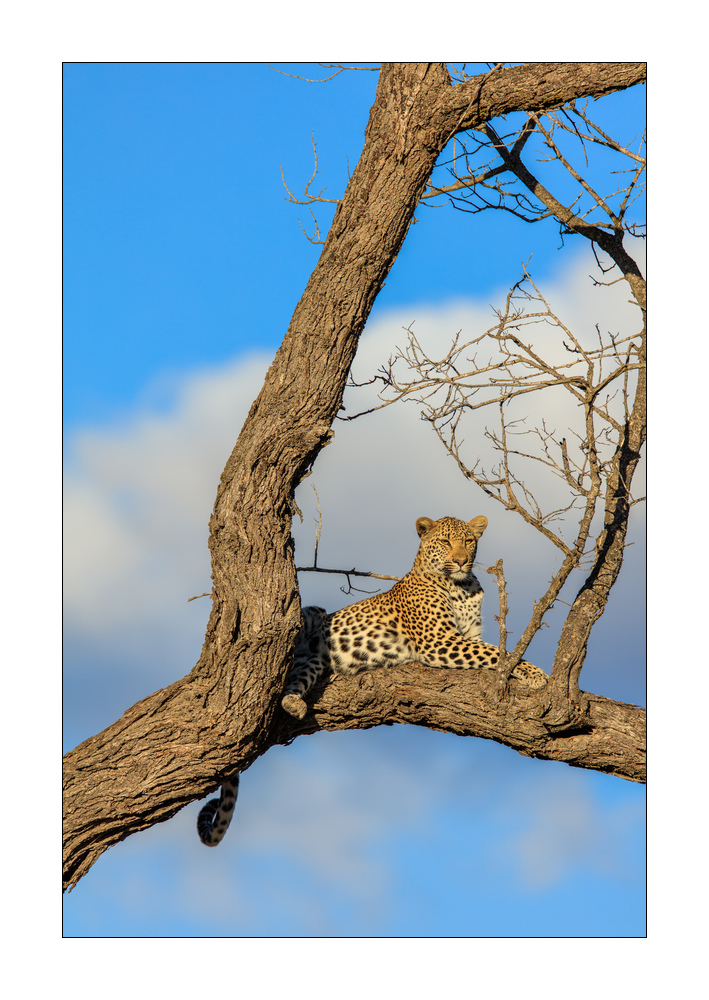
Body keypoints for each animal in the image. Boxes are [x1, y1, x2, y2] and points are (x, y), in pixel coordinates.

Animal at [197, 514, 547, 847]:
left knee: (296, 679)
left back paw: (297, 700)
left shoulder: (466, 637)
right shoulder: (439, 642)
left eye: (469, 541)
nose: (462, 560)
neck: (462, 587)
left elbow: (492, 652)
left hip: (313, 660)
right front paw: (538, 675)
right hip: (311, 613)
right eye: (446, 542)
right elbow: (498, 653)